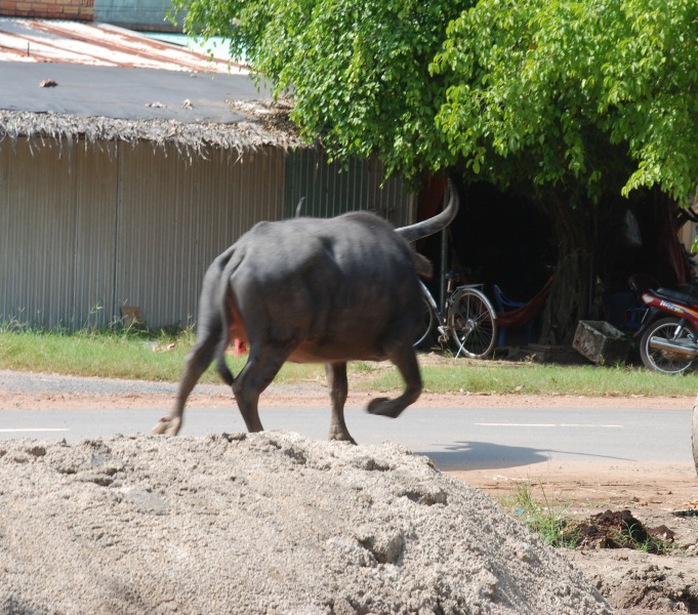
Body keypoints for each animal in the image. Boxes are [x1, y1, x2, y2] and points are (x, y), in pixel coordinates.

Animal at [154, 182, 456, 442]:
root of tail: (243, 251)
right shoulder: (400, 342)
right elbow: (414, 386)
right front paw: (378, 406)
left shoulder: (335, 353)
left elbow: (338, 390)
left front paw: (342, 436)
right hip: (275, 343)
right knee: (245, 386)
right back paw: (262, 434)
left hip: (214, 327)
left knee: (194, 362)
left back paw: (170, 424)